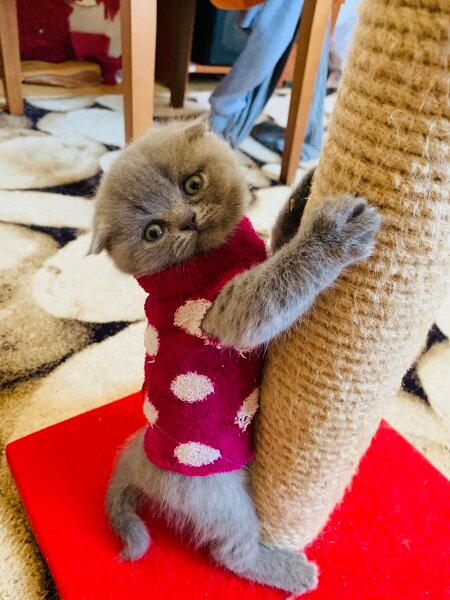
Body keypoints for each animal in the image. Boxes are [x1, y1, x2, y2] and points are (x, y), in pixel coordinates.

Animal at [89, 118, 380, 596]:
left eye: (192, 184)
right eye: (153, 232)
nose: (187, 220)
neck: (217, 255)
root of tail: (142, 461)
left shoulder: (257, 257)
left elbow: (280, 243)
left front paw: (303, 191)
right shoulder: (226, 313)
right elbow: (284, 277)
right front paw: (334, 236)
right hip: (217, 498)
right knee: (231, 552)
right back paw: (289, 571)